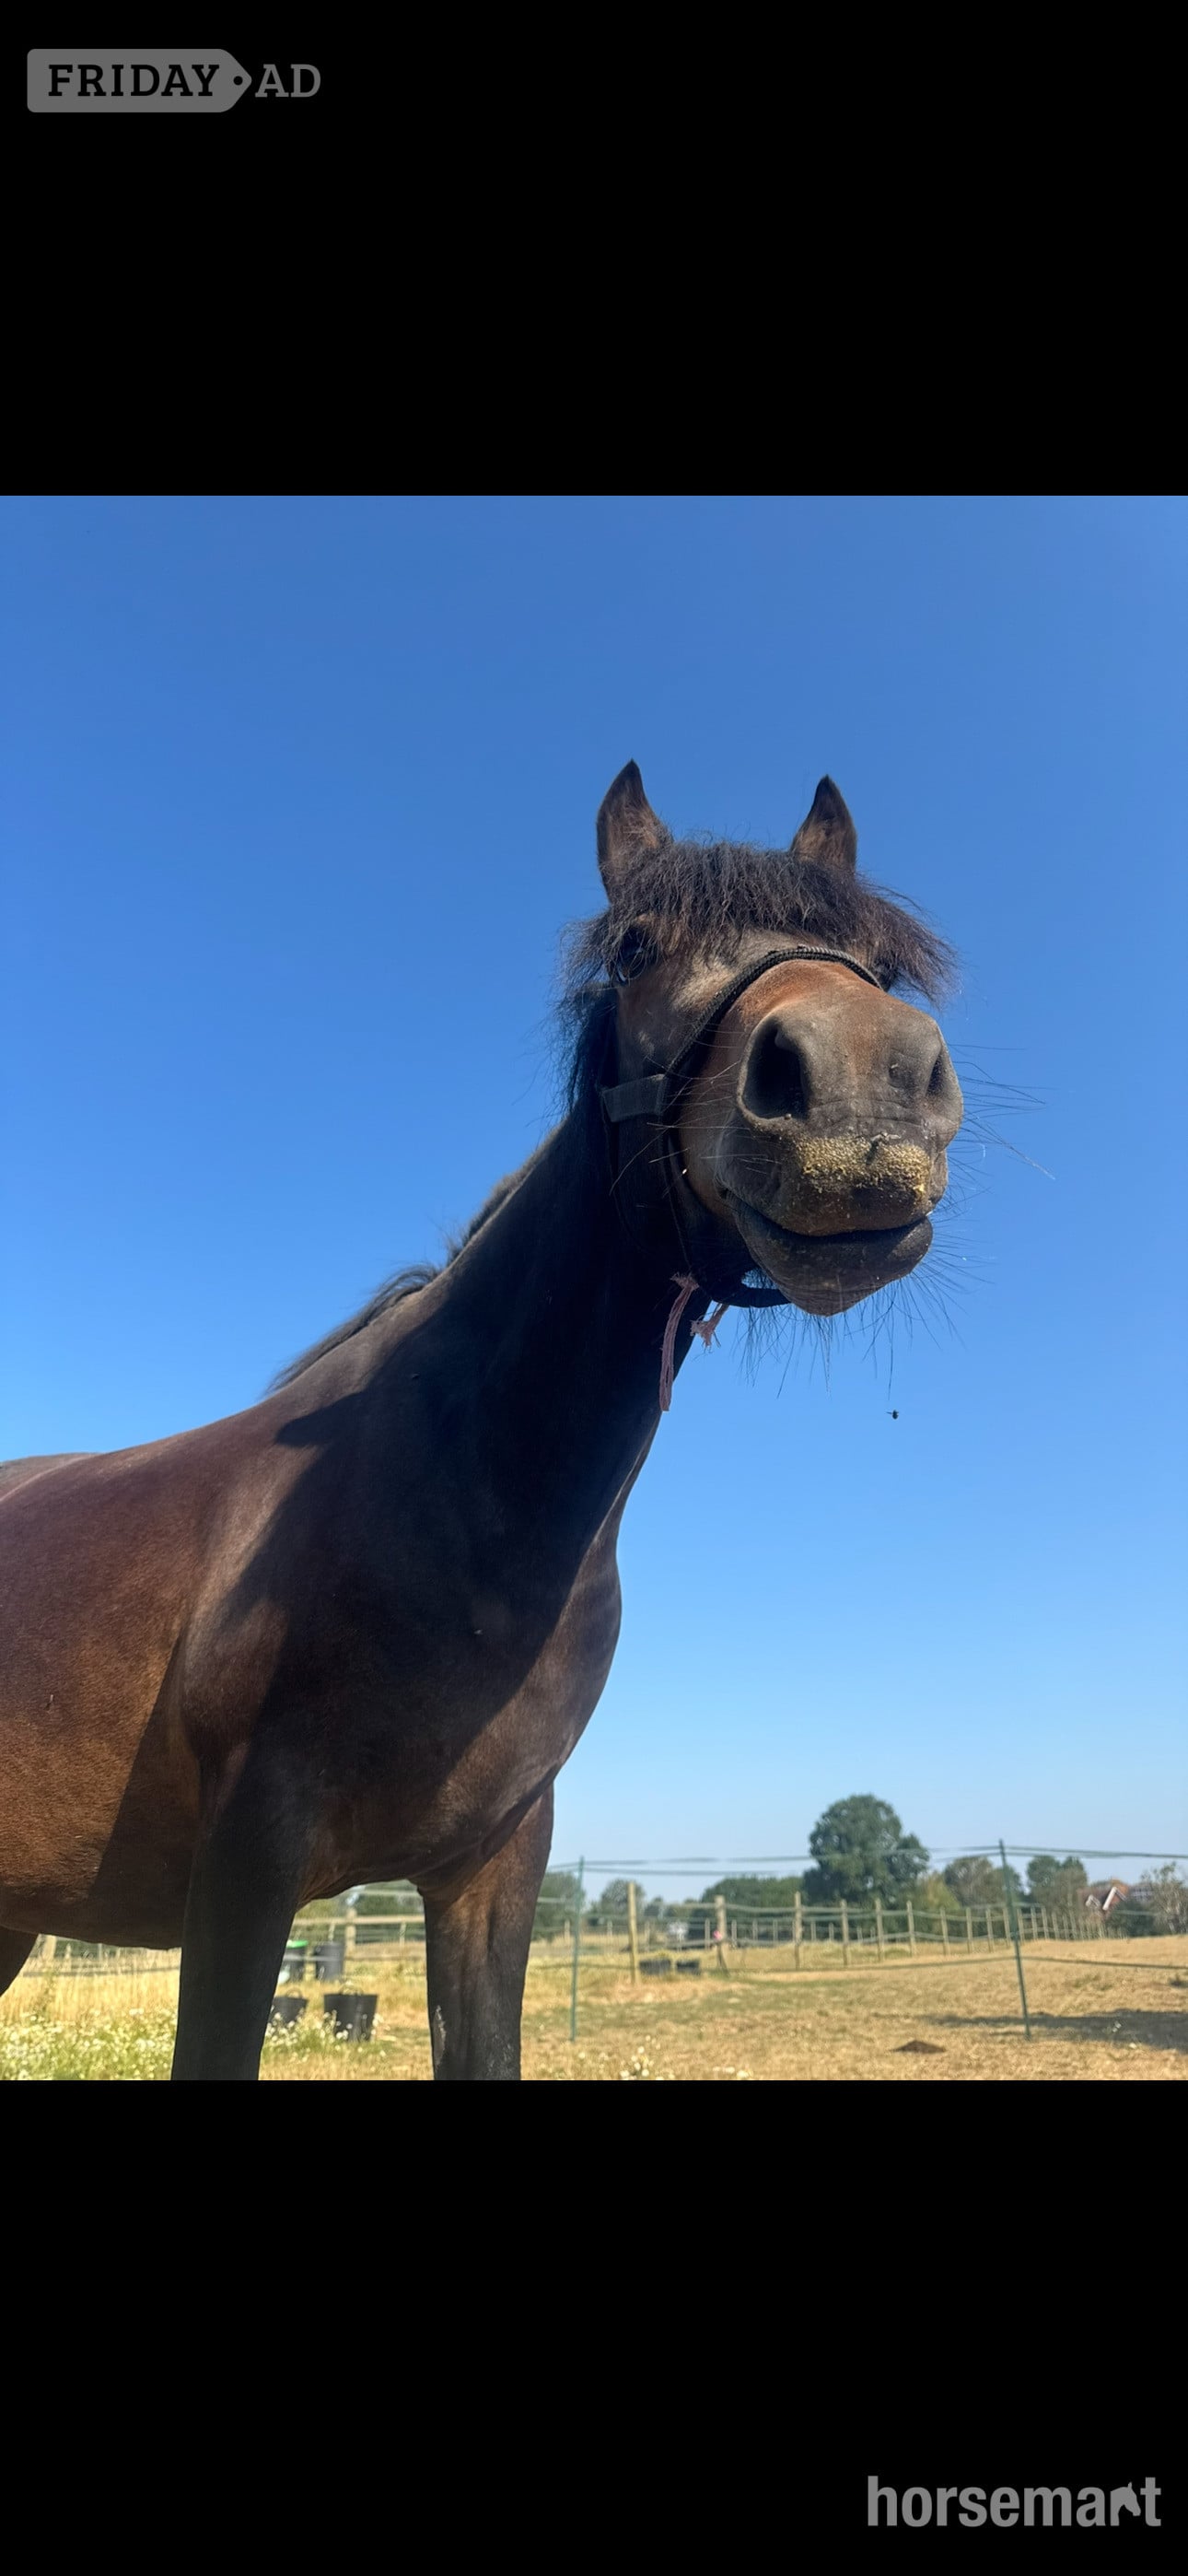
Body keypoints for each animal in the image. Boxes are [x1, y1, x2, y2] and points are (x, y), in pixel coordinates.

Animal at [0, 766, 962, 2079]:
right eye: (634, 948)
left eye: (881, 964)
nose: (861, 1091)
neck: (464, 1496)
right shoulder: (243, 1873)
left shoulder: (491, 1870)